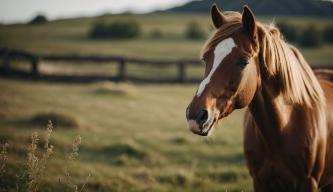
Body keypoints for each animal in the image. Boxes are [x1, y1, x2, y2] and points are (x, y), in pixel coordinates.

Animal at [185, 3, 330, 191]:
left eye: (244, 61)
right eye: (205, 58)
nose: (195, 115)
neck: (282, 128)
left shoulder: (309, 182)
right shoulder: (259, 181)